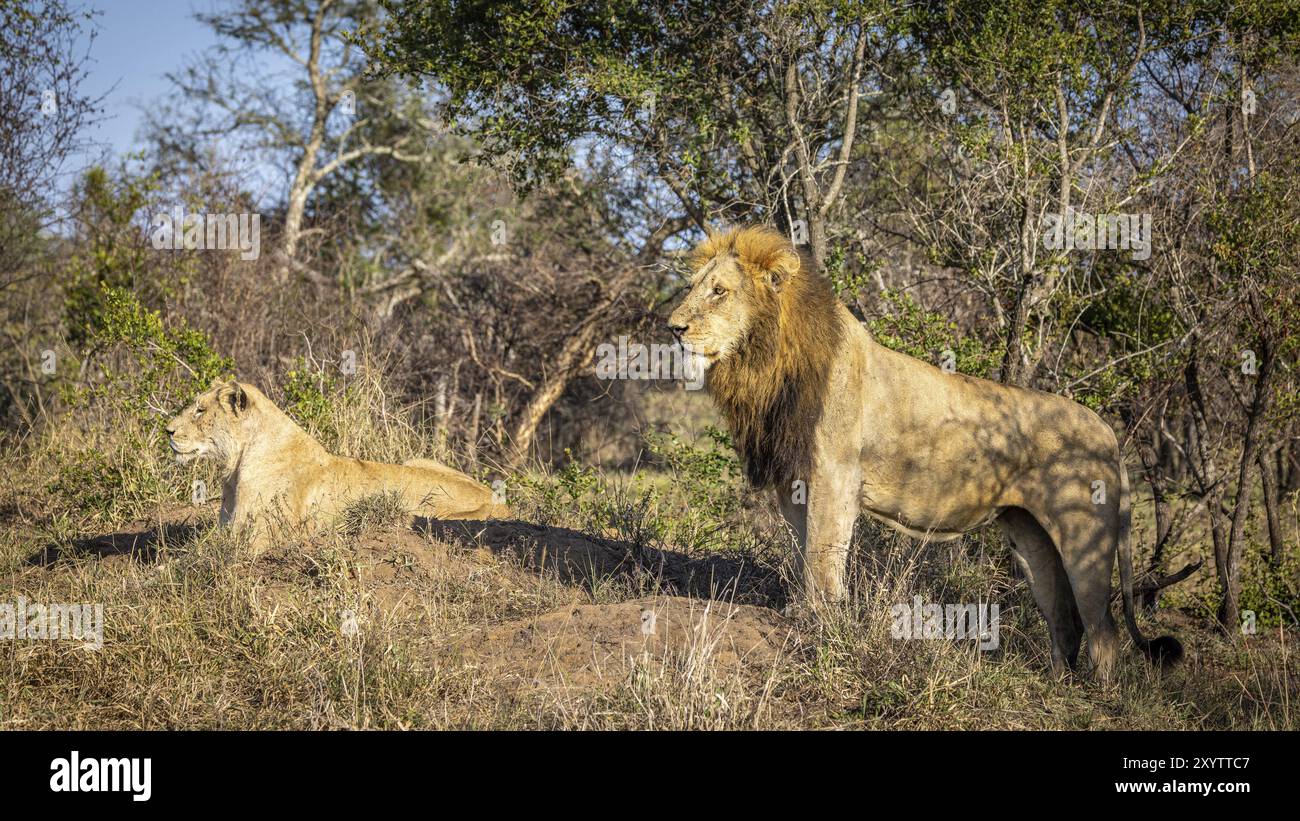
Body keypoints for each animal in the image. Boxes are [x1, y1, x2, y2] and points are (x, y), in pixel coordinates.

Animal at [166, 379, 506, 552]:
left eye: (199, 410)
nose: (167, 430)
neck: (236, 465)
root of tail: (499, 502)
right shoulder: (227, 529)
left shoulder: (259, 538)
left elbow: (187, 560)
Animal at [668, 225, 1195, 680]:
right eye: (693, 286)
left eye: (719, 291)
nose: (673, 327)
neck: (765, 367)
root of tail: (1108, 431)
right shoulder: (793, 482)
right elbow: (805, 552)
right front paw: (801, 610)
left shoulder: (834, 476)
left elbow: (822, 556)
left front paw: (821, 623)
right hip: (1032, 540)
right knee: (1065, 620)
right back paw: (1057, 683)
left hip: (1086, 535)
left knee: (1104, 630)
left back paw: (1097, 693)